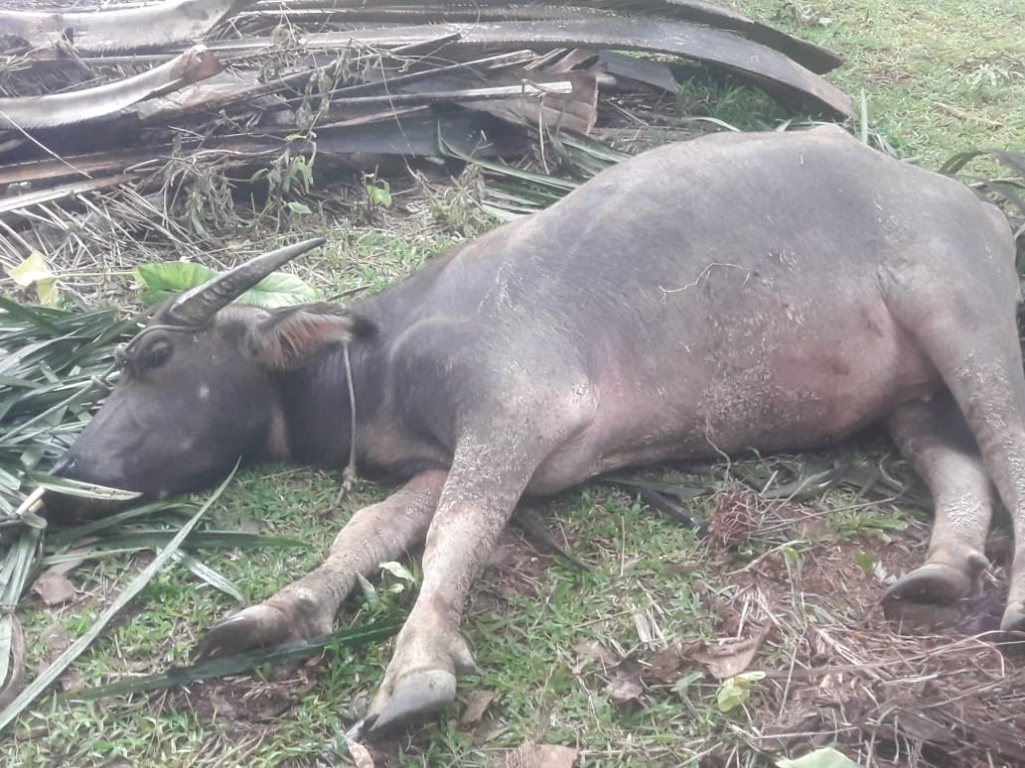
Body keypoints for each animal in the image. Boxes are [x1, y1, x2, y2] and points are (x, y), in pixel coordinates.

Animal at [49, 124, 1025, 730]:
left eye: (154, 357)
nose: (62, 484)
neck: (379, 360)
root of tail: (967, 200)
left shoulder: (513, 416)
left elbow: (452, 534)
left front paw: (415, 669)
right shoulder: (442, 457)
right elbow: (369, 529)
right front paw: (276, 610)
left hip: (966, 320)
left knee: (1008, 445)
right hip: (910, 396)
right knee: (962, 466)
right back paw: (942, 570)